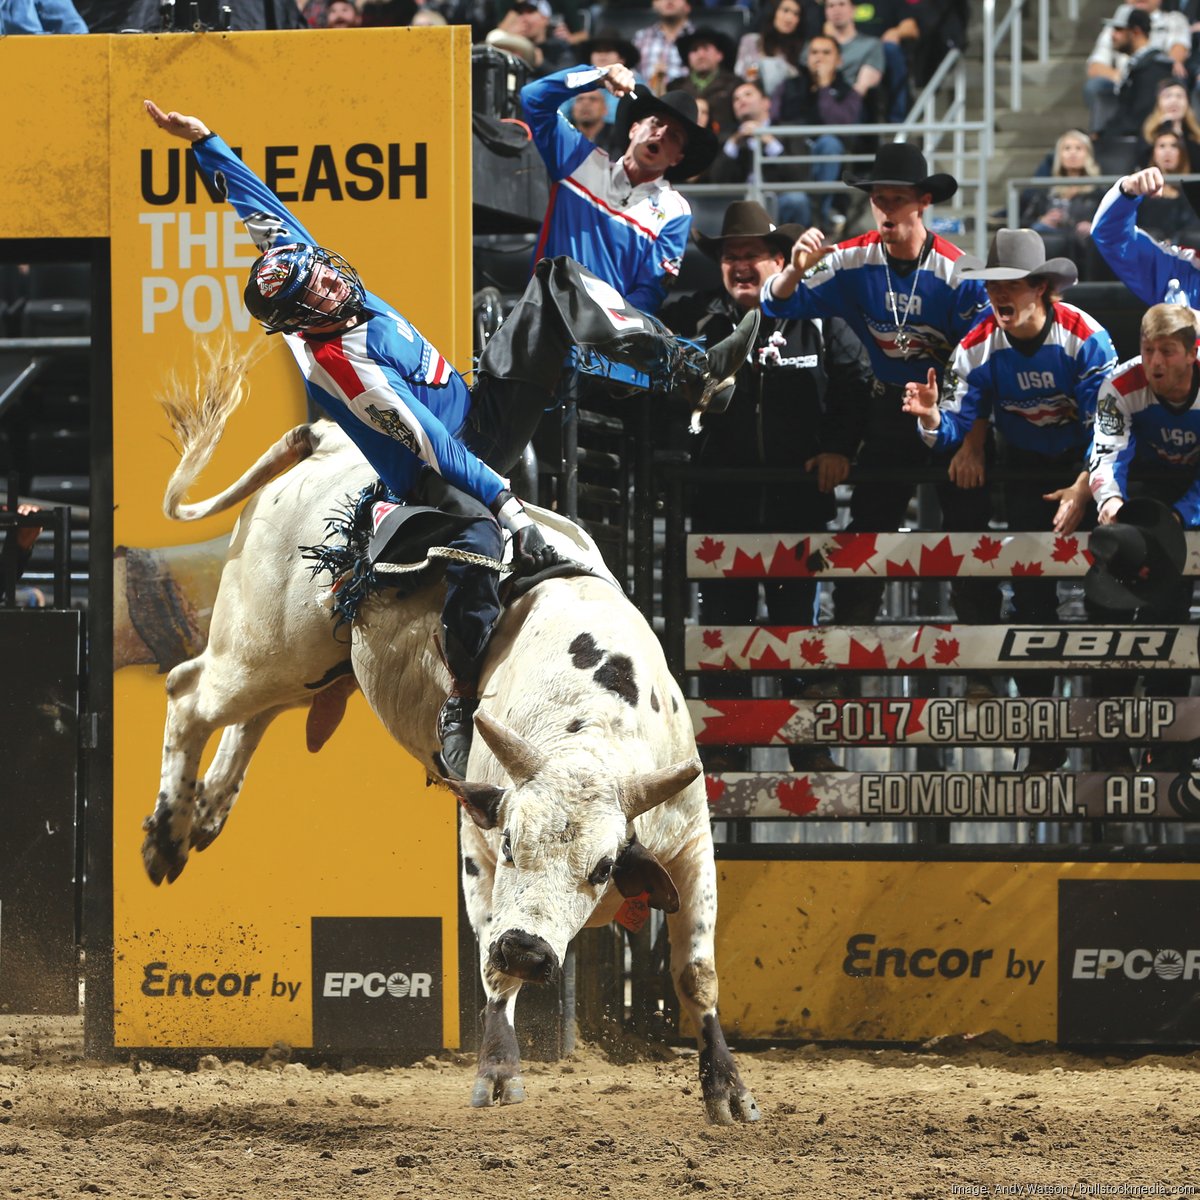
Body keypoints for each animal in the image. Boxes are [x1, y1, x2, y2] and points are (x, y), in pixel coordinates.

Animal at [140, 345, 758, 1123]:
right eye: (511, 843)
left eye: (600, 869)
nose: (528, 951)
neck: (590, 728)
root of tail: (330, 441)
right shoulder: (477, 835)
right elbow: (490, 964)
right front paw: (497, 1068)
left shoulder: (691, 843)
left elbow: (697, 972)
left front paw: (727, 1087)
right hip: (263, 645)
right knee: (189, 693)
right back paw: (166, 835)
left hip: (303, 665)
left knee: (249, 713)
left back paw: (209, 810)